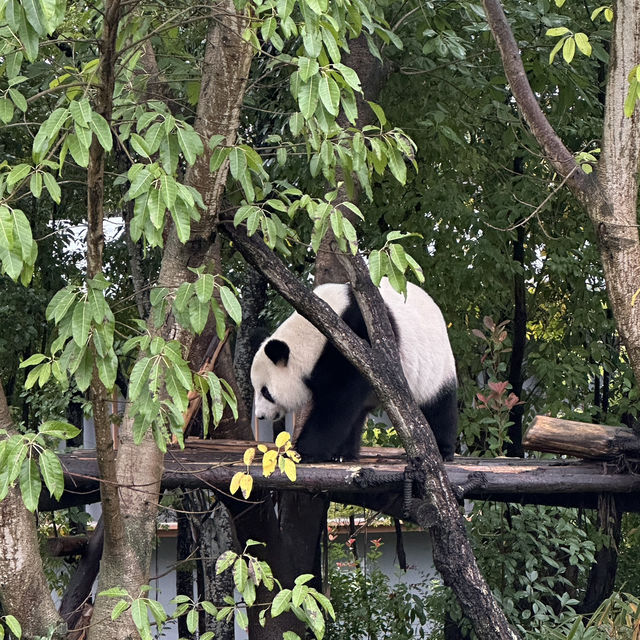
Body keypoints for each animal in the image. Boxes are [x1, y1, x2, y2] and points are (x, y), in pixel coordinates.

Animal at [249, 278, 456, 462]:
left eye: (265, 392)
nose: (260, 415)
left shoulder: (354, 345)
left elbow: (337, 403)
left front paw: (304, 451)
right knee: (358, 414)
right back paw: (343, 454)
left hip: (435, 365)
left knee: (438, 405)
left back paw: (443, 450)